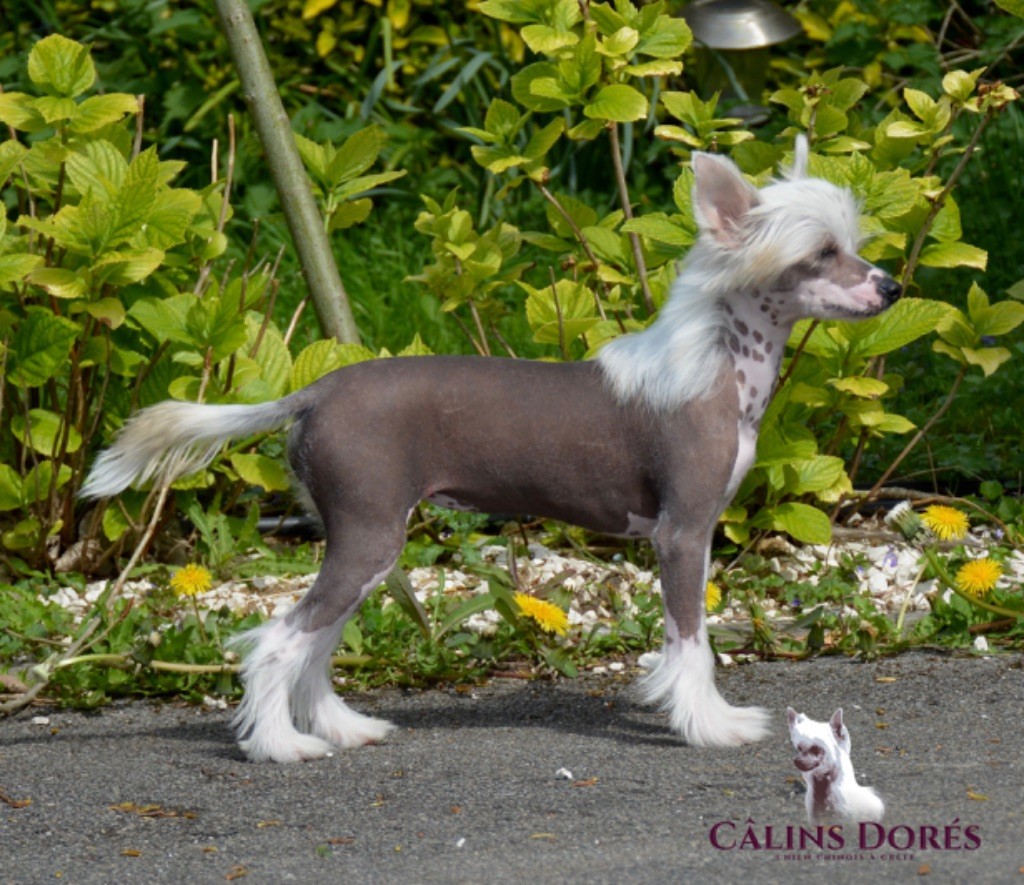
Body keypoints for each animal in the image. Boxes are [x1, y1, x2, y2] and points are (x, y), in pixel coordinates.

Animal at [88, 138, 905, 762]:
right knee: (280, 642)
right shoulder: (682, 534)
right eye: (823, 253)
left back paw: (344, 727)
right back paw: (279, 743)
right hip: (368, 536)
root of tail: (312, 391)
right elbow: (691, 642)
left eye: (854, 247)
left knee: (316, 644)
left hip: (365, 544)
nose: (894, 287)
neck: (715, 368)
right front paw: (710, 725)